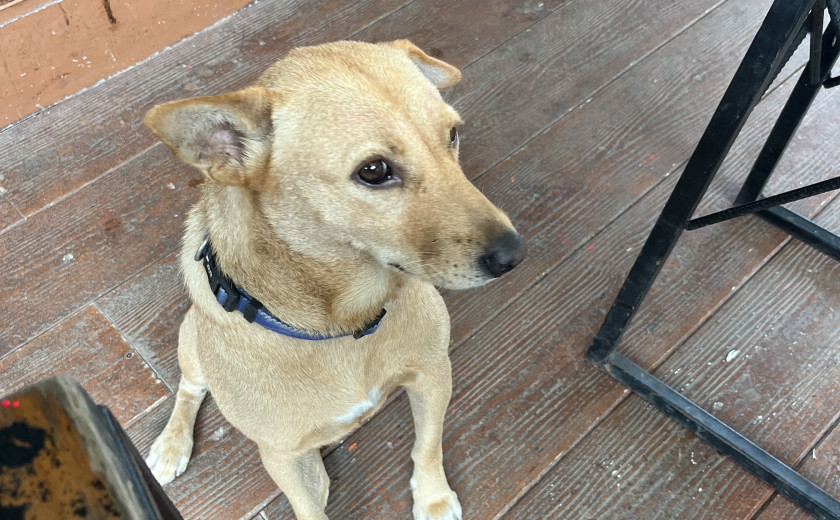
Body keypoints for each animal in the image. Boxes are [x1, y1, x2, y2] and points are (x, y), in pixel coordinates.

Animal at [143, 39, 526, 520]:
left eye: (452, 135)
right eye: (374, 170)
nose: (514, 255)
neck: (346, 322)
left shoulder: (434, 375)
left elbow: (427, 445)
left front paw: (433, 498)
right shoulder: (279, 454)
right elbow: (307, 509)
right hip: (191, 339)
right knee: (189, 389)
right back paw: (172, 445)